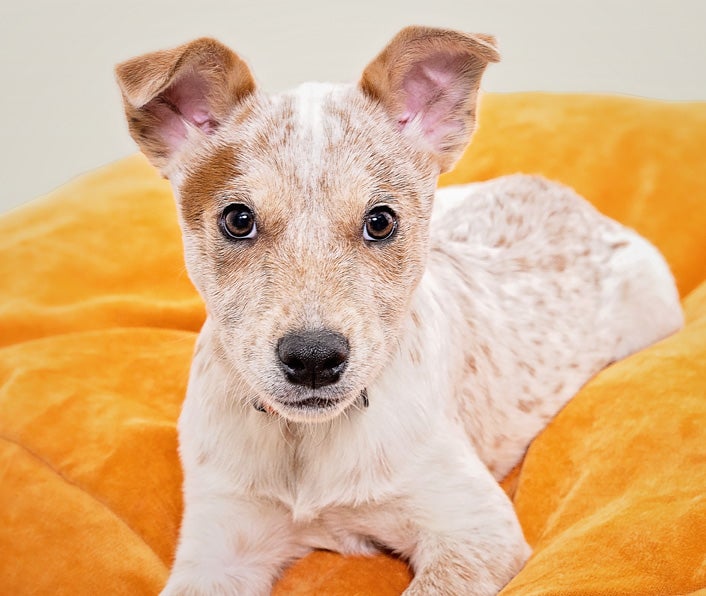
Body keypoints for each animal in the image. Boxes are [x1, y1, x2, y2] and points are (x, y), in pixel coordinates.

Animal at [115, 25, 680, 592]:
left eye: (381, 222)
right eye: (237, 220)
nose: (314, 359)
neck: (307, 441)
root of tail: (560, 192)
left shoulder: (473, 530)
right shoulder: (220, 539)